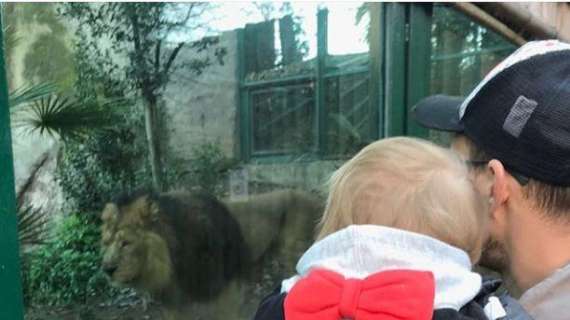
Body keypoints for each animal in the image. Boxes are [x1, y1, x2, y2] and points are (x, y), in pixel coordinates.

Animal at [100, 189, 322, 318]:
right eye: (107, 242)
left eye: (126, 243)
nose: (107, 270)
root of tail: (314, 198)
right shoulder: (175, 306)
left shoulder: (225, 296)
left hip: (294, 253)